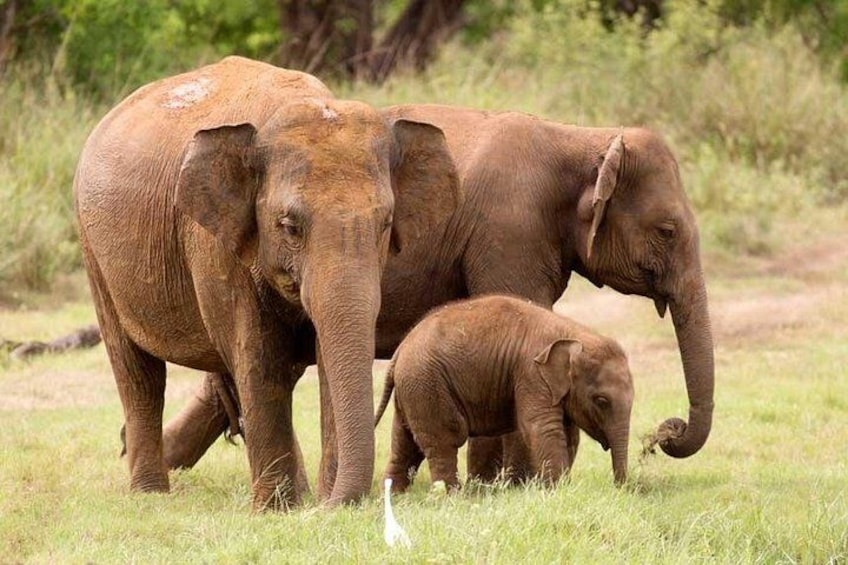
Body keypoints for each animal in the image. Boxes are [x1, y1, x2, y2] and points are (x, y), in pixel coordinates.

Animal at [73, 57, 459, 510]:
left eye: (385, 224)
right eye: (289, 226)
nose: (332, 504)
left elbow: (322, 360)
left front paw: (317, 499)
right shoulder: (213, 242)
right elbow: (257, 358)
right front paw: (277, 510)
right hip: (93, 249)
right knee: (139, 374)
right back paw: (151, 495)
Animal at [375, 295, 634, 491]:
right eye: (601, 400)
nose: (620, 488)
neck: (574, 333)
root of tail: (400, 351)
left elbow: (569, 433)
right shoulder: (531, 373)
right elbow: (542, 427)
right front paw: (557, 490)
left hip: (413, 389)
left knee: (404, 444)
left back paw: (394, 497)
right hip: (426, 384)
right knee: (444, 440)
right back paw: (452, 497)